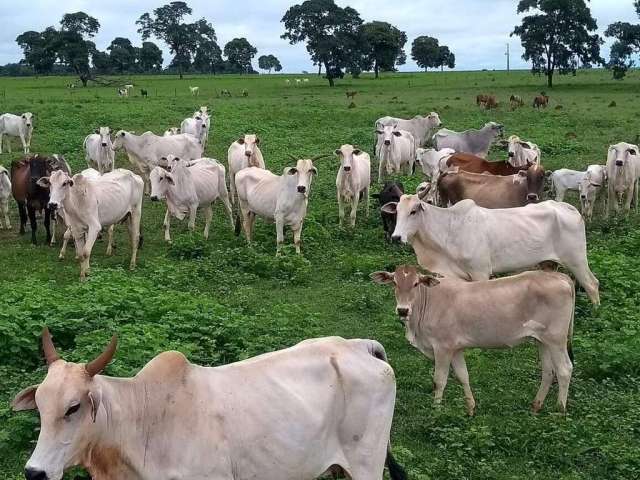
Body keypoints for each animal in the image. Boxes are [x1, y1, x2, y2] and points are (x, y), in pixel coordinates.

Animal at [370, 266, 576, 416]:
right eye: (394, 282)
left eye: (415, 283)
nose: (402, 310)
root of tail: (560, 276)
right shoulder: (456, 348)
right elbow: (463, 376)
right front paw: (470, 408)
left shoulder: (443, 347)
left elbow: (439, 380)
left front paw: (436, 411)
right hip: (542, 341)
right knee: (548, 372)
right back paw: (536, 406)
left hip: (556, 339)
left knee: (564, 369)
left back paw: (560, 411)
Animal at [384, 194, 600, 304]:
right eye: (397, 211)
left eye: (413, 211)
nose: (396, 237)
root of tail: (568, 208)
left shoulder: (480, 272)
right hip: (549, 263)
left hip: (576, 259)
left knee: (592, 284)